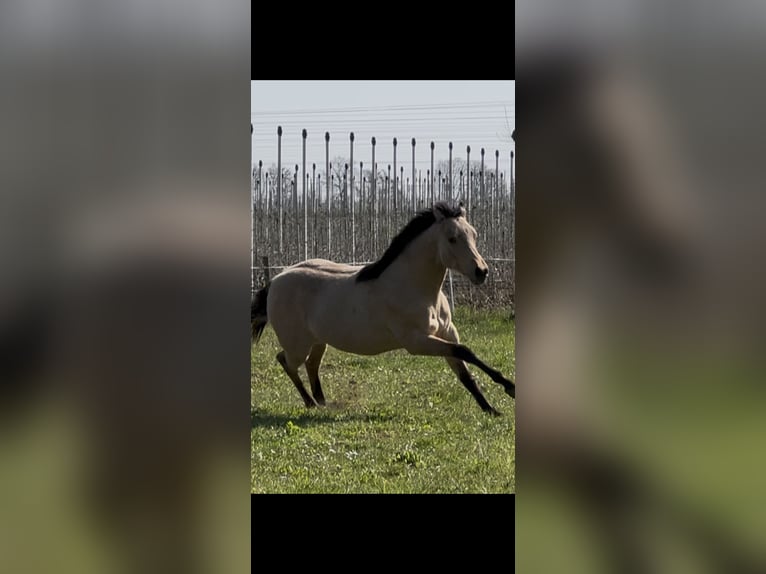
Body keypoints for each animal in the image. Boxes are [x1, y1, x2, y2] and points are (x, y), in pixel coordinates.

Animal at [251, 201, 515, 415]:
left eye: (474, 234)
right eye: (452, 238)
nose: (481, 272)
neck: (414, 287)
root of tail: (275, 280)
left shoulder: (446, 332)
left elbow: (464, 371)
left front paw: (492, 408)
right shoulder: (417, 341)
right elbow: (464, 351)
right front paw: (509, 387)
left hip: (318, 341)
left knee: (310, 365)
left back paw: (323, 402)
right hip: (298, 345)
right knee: (285, 361)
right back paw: (310, 403)